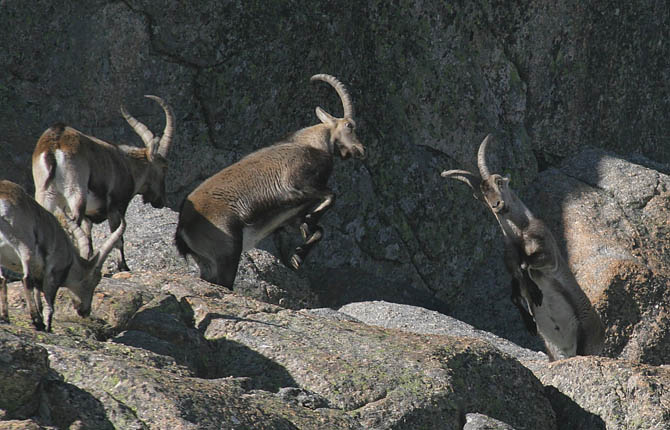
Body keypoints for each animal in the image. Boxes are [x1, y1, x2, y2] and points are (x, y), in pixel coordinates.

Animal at [0, 180, 125, 330]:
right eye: (95, 281)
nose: (85, 311)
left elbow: (38, 295)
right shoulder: (53, 273)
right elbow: (49, 304)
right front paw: (47, 326)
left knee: (2, 280)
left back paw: (5, 317)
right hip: (24, 246)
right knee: (26, 280)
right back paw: (37, 322)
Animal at [32, 96, 175, 272]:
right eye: (164, 167)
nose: (161, 201)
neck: (127, 166)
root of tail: (53, 146)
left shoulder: (89, 217)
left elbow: (88, 239)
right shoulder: (116, 207)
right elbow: (117, 236)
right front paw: (123, 266)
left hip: (45, 193)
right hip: (75, 192)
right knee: (73, 223)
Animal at [176, 73, 364, 288]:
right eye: (349, 126)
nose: (361, 150)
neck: (312, 145)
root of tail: (183, 227)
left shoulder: (292, 215)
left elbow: (319, 230)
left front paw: (297, 256)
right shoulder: (295, 187)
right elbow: (332, 196)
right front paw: (310, 223)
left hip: (208, 261)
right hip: (228, 250)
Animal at [444, 135, 608, 360]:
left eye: (499, 182)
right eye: (483, 196)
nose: (497, 205)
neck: (519, 235)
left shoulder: (549, 257)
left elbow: (526, 265)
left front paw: (536, 292)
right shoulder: (511, 264)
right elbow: (515, 291)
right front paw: (530, 320)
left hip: (585, 338)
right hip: (555, 350)